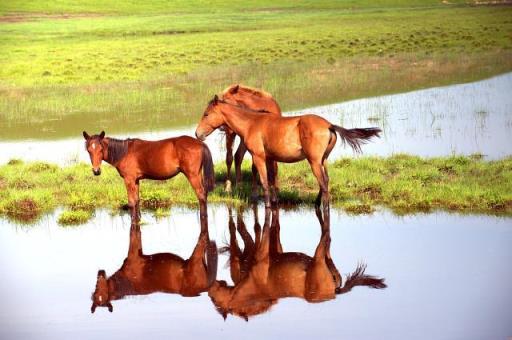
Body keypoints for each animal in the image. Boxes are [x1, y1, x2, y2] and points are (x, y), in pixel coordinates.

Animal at [82, 131, 214, 227]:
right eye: (88, 150)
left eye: (101, 149)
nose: (96, 171)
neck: (124, 152)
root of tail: (200, 143)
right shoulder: (136, 180)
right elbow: (137, 200)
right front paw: (138, 219)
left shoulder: (129, 180)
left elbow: (131, 202)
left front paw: (133, 222)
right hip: (198, 174)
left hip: (192, 175)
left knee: (201, 194)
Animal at [196, 94, 380, 218]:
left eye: (206, 114)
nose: (198, 134)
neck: (251, 123)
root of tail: (329, 125)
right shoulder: (270, 158)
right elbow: (272, 180)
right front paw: (275, 201)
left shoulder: (259, 157)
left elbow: (264, 181)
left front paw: (268, 206)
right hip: (323, 160)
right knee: (326, 181)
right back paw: (316, 204)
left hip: (314, 161)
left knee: (323, 182)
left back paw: (324, 208)